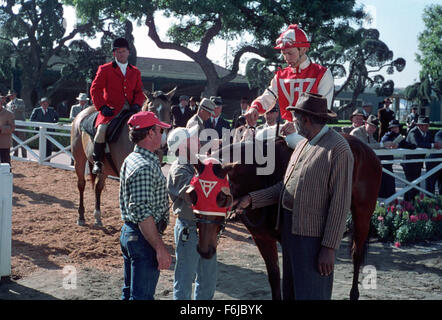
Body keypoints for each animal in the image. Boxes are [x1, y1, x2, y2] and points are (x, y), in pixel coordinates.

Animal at [70, 87, 175, 226]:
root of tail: (83, 113)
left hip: (104, 168)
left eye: (170, 111)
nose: (162, 140)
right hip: (79, 160)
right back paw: (81, 216)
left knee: (98, 187)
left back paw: (97, 216)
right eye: (151, 110)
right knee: (81, 184)